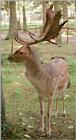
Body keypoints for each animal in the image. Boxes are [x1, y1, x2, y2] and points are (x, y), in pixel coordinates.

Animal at [7, 5, 69, 137]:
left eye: (21, 52)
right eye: (18, 48)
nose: (9, 57)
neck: (42, 82)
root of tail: (62, 58)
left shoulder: (50, 93)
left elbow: (48, 113)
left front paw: (49, 132)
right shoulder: (39, 93)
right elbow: (41, 111)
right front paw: (41, 129)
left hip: (65, 83)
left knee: (62, 95)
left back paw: (63, 112)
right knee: (58, 96)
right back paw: (57, 113)